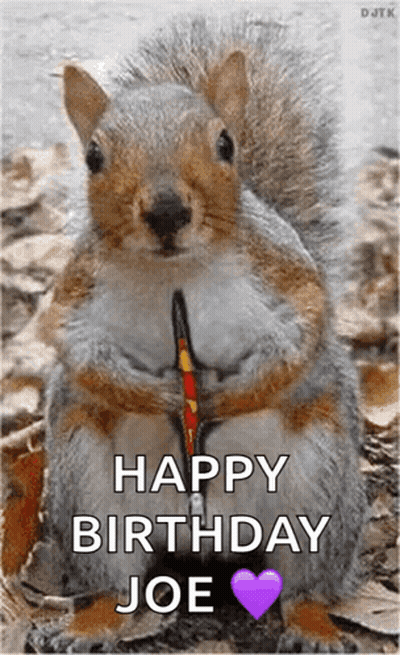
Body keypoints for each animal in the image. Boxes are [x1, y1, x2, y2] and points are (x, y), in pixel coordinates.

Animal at [1, 15, 366, 653]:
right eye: (93, 156)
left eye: (225, 144)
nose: (167, 211)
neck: (176, 273)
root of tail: (205, 537)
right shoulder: (75, 299)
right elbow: (83, 354)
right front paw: (161, 395)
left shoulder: (288, 276)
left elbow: (299, 337)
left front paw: (230, 395)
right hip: (90, 494)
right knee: (115, 584)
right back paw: (90, 622)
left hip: (322, 493)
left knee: (304, 585)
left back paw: (313, 624)